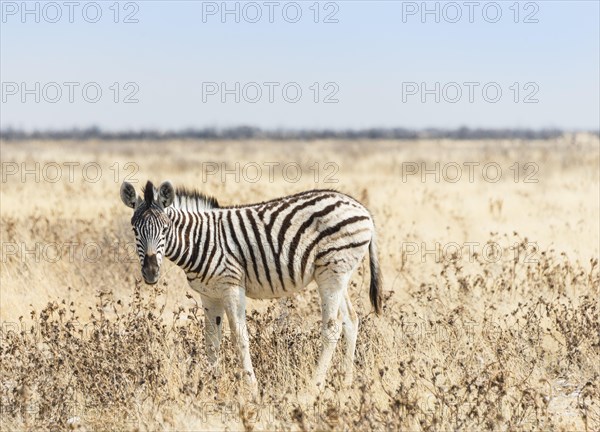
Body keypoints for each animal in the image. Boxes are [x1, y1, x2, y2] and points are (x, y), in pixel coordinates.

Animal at [119, 181, 382, 394]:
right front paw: (212, 386)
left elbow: (240, 337)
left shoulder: (231, 286)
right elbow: (211, 342)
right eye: (134, 230)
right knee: (351, 320)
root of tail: (363, 209)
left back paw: (313, 386)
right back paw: (346, 383)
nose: (150, 272)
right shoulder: (209, 295)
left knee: (332, 327)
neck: (200, 240)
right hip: (338, 275)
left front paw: (251, 387)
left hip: (332, 272)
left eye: (165, 229)